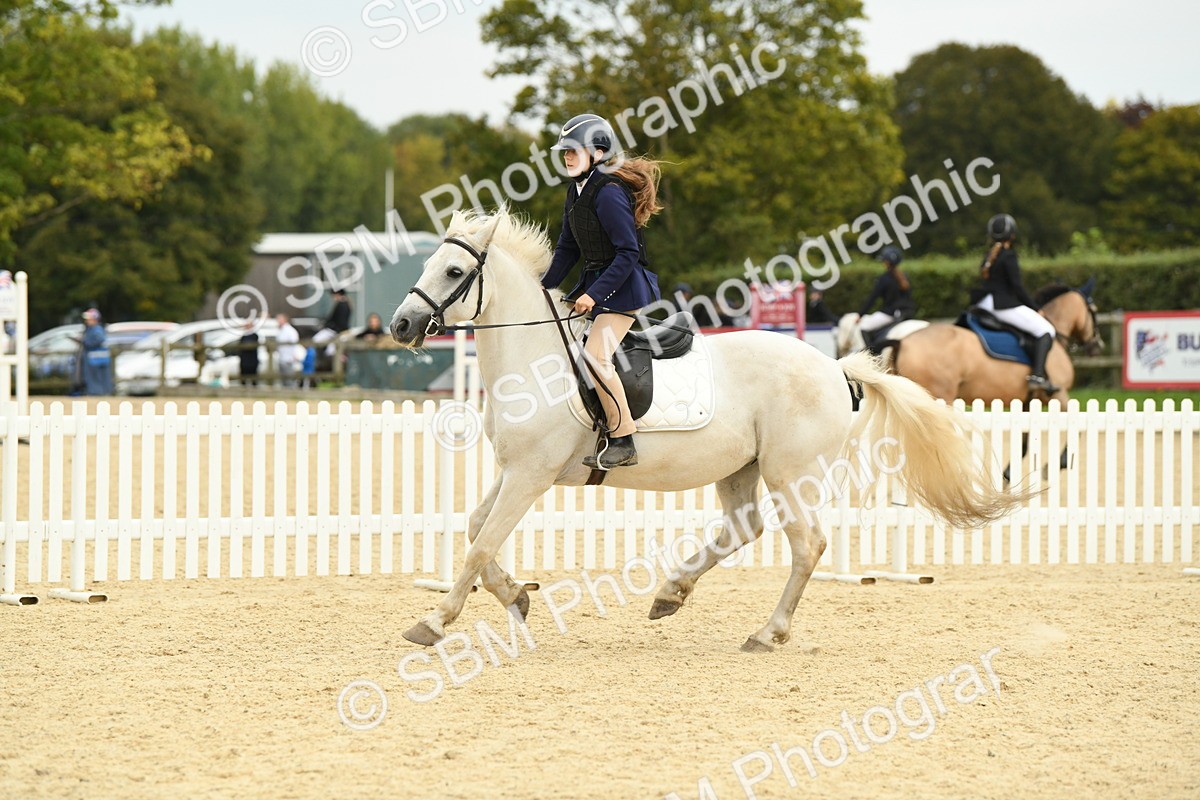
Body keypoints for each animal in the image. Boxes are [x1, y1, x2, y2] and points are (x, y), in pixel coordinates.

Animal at [389, 208, 1032, 653]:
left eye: (453, 270)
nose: (401, 325)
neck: (535, 358)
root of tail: (834, 367)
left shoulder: (531, 475)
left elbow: (479, 546)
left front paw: (435, 621)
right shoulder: (516, 470)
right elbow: (477, 531)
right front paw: (517, 597)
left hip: (790, 473)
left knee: (807, 545)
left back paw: (768, 633)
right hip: (741, 470)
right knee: (743, 529)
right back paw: (670, 594)